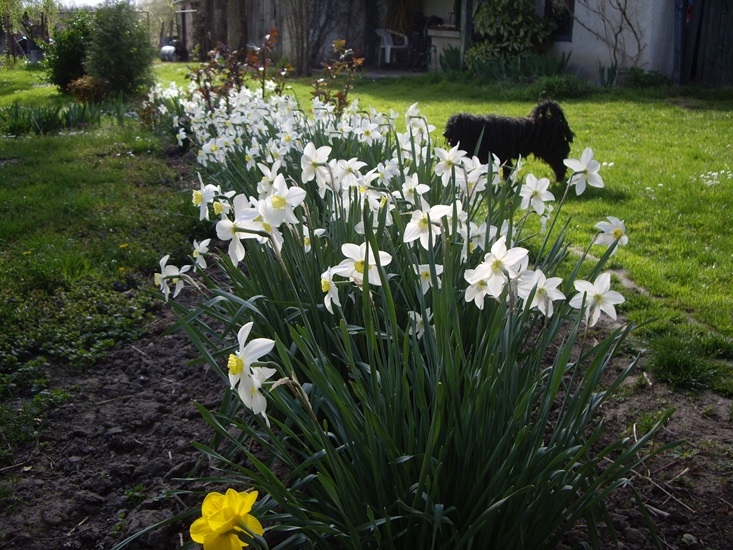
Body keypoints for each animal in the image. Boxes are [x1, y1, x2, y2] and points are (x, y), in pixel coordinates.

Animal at [444, 100, 576, 182]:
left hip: (551, 151)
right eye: (448, 125)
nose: (444, 133)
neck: (479, 130)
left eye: (453, 126)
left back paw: (558, 179)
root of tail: (554, 120)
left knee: (559, 165)